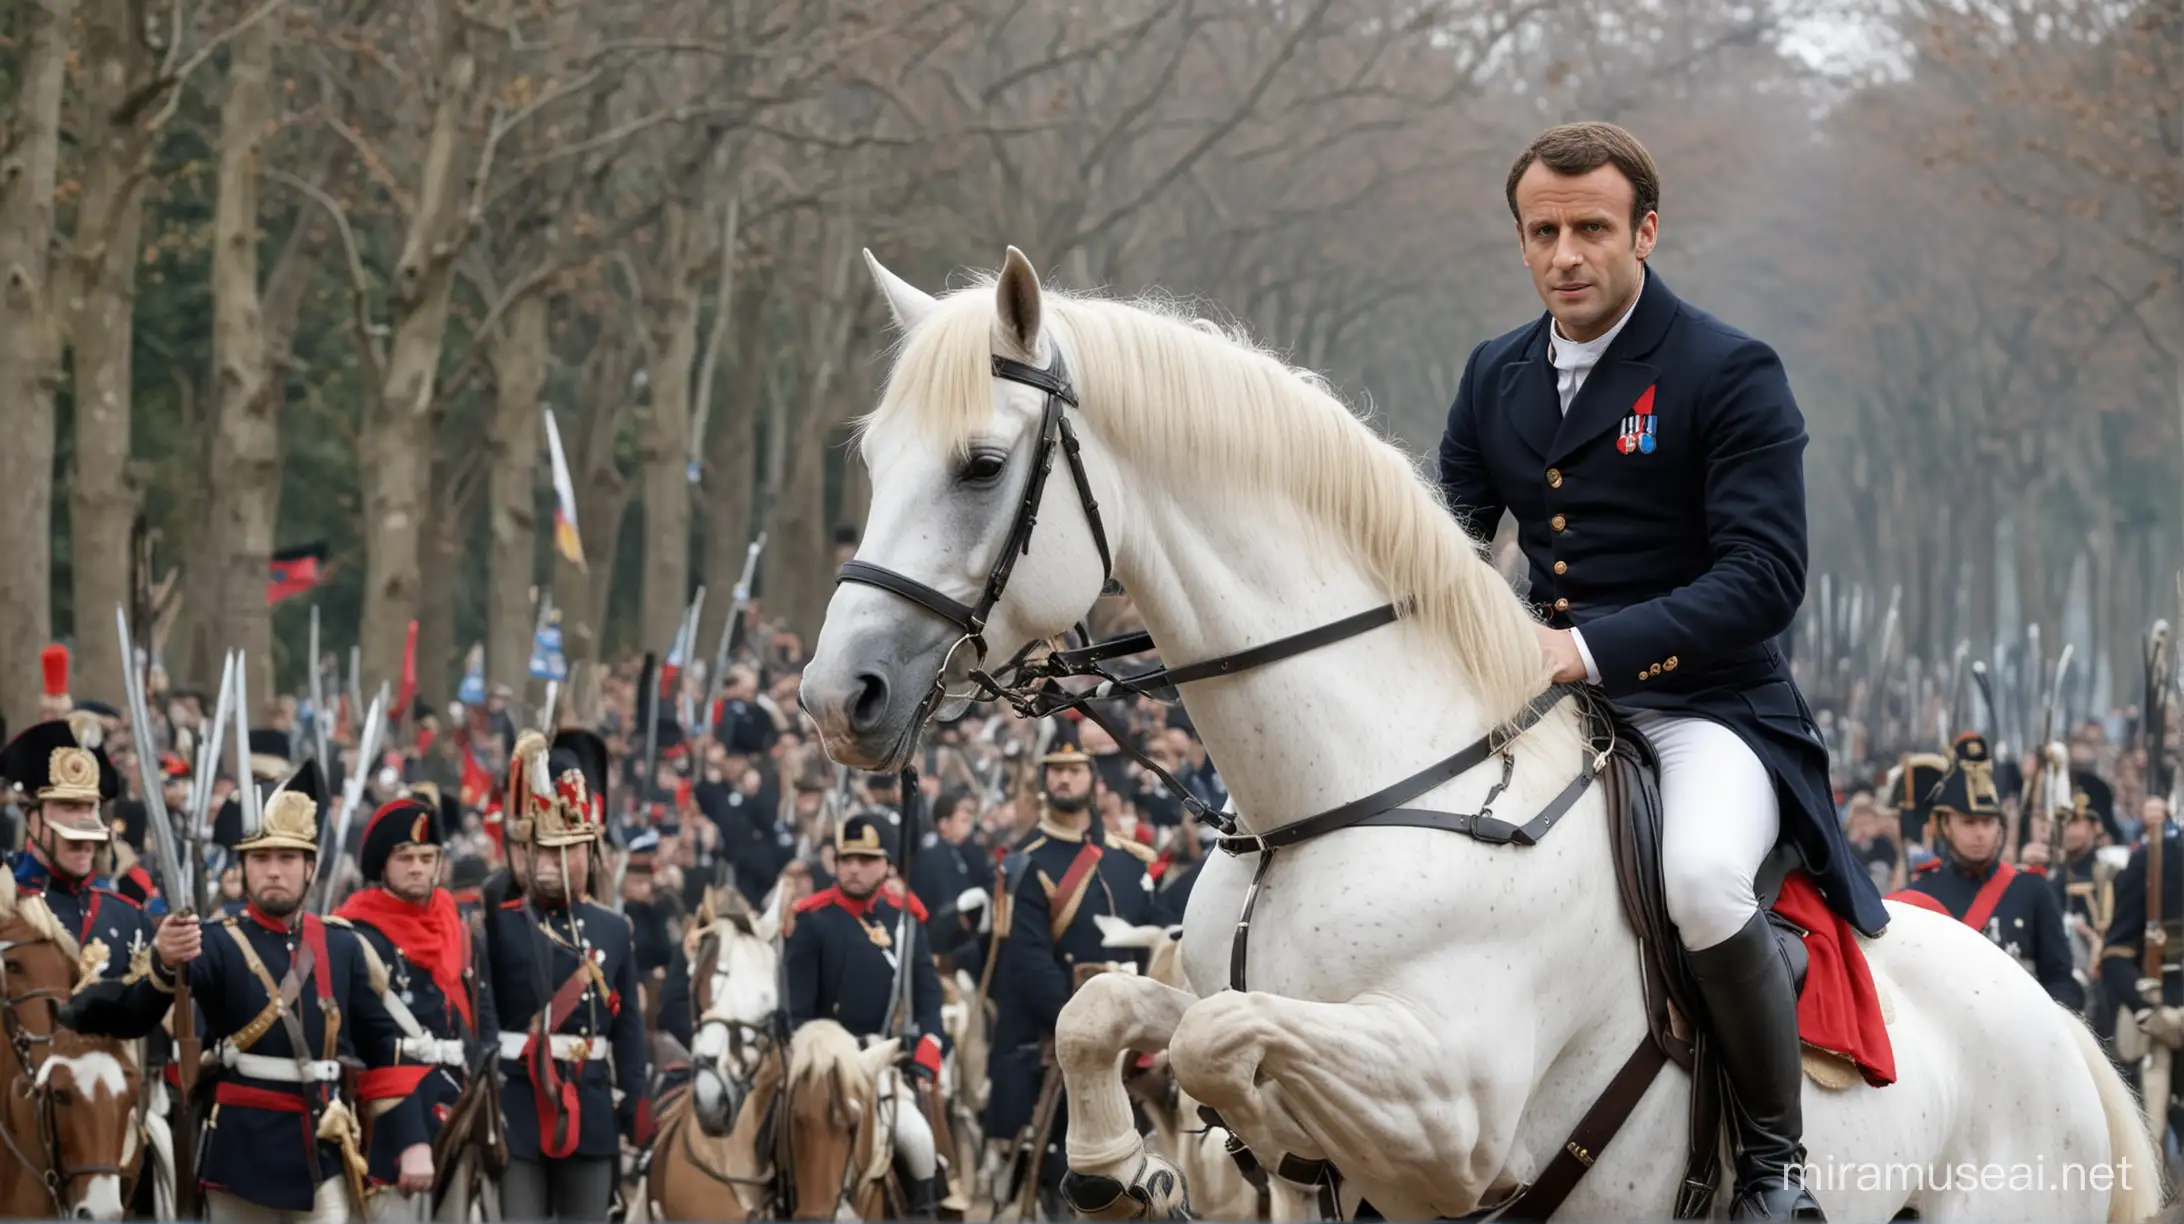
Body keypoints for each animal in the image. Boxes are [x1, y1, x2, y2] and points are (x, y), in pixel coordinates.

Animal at [794, 251, 2157, 1224]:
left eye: (980, 465)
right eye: (870, 454)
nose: (836, 697)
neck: (1347, 803)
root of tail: (2067, 1038)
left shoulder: (1452, 1116)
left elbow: (1223, 1037)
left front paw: (1199, 1147)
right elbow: (1107, 1009)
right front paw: (1122, 1164)